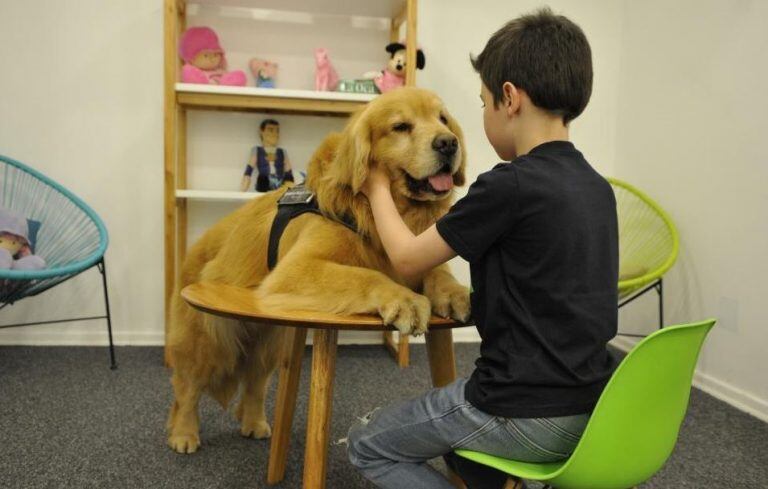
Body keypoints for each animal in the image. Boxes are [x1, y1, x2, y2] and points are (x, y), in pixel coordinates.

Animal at [165, 86, 472, 454]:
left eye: (443, 120)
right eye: (401, 126)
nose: (448, 143)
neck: (372, 209)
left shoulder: (407, 254)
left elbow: (438, 271)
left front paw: (455, 293)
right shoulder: (296, 268)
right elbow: (366, 274)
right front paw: (405, 301)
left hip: (270, 343)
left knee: (254, 383)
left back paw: (254, 422)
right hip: (209, 340)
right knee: (187, 388)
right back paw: (184, 433)